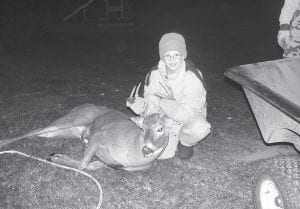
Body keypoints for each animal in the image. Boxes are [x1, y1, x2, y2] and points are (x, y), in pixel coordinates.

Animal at [0, 85, 172, 171]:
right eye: (143, 128)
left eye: (161, 129)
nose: (146, 149)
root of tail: (81, 105)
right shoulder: (100, 136)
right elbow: (82, 165)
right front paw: (55, 157)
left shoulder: (108, 162)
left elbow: (90, 166)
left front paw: (56, 157)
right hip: (73, 119)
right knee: (34, 130)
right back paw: (3, 142)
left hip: (68, 132)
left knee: (40, 134)